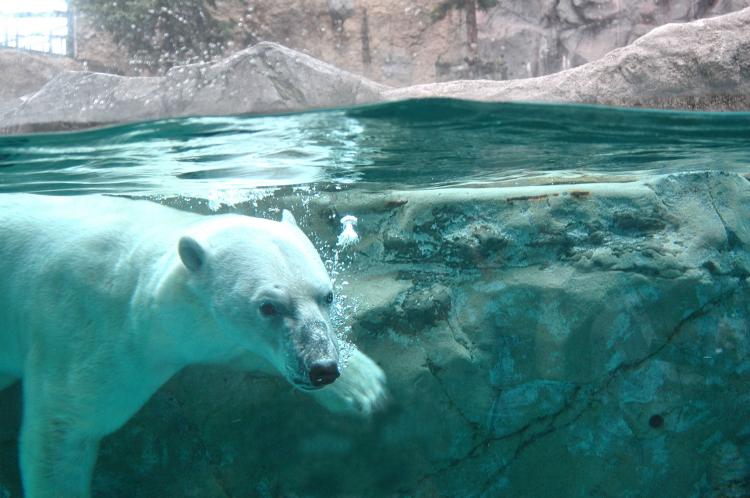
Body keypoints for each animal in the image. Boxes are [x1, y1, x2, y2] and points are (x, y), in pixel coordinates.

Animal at [0, 194, 388, 498]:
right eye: (268, 306)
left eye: (327, 296)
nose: (322, 368)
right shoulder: (89, 337)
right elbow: (64, 425)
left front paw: (364, 386)